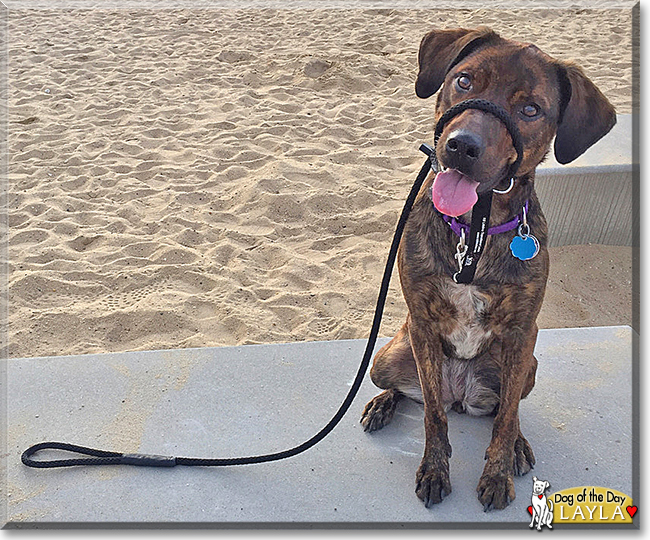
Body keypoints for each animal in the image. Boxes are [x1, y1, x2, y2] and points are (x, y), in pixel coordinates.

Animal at [360, 28, 612, 510]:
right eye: (464, 80)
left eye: (531, 109)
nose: (461, 146)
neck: (473, 228)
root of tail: (462, 396)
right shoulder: (421, 325)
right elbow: (432, 415)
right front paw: (434, 469)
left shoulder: (522, 333)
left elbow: (506, 416)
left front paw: (497, 473)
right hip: (387, 357)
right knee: (413, 392)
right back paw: (382, 404)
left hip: (527, 364)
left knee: (504, 408)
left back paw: (517, 445)